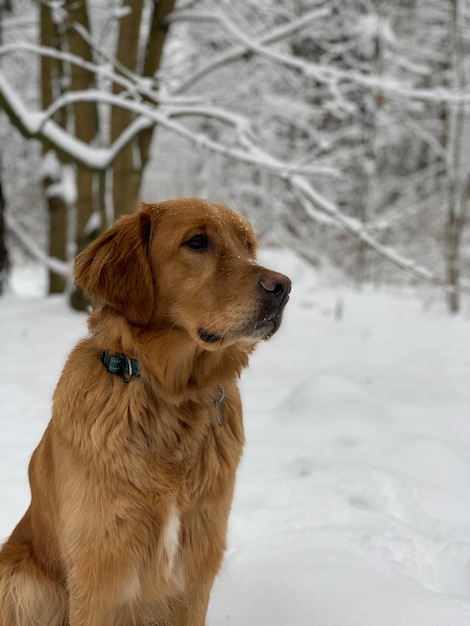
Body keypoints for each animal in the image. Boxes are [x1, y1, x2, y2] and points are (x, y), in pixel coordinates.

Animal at [0, 199, 290, 624]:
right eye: (197, 241)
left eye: (248, 245)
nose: (283, 287)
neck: (169, 395)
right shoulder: (99, 573)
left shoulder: (196, 571)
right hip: (20, 581)